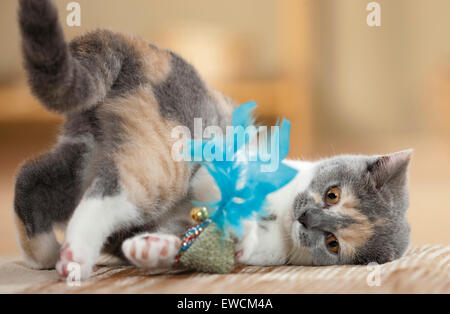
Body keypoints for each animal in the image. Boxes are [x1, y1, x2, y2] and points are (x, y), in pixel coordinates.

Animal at [13, 0, 412, 280]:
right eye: (333, 195)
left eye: (333, 243)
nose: (306, 218)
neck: (280, 216)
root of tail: (136, 47)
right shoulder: (226, 165)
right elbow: (226, 193)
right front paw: (239, 223)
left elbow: (180, 244)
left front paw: (152, 249)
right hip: (162, 163)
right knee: (108, 194)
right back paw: (74, 257)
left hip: (84, 156)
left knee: (32, 180)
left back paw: (46, 253)